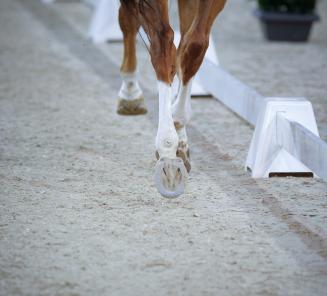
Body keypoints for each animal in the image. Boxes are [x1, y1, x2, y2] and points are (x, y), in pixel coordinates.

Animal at [116, 1, 227, 198]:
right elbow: (163, 47)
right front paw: (167, 148)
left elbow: (194, 45)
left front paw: (179, 132)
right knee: (129, 21)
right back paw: (130, 93)